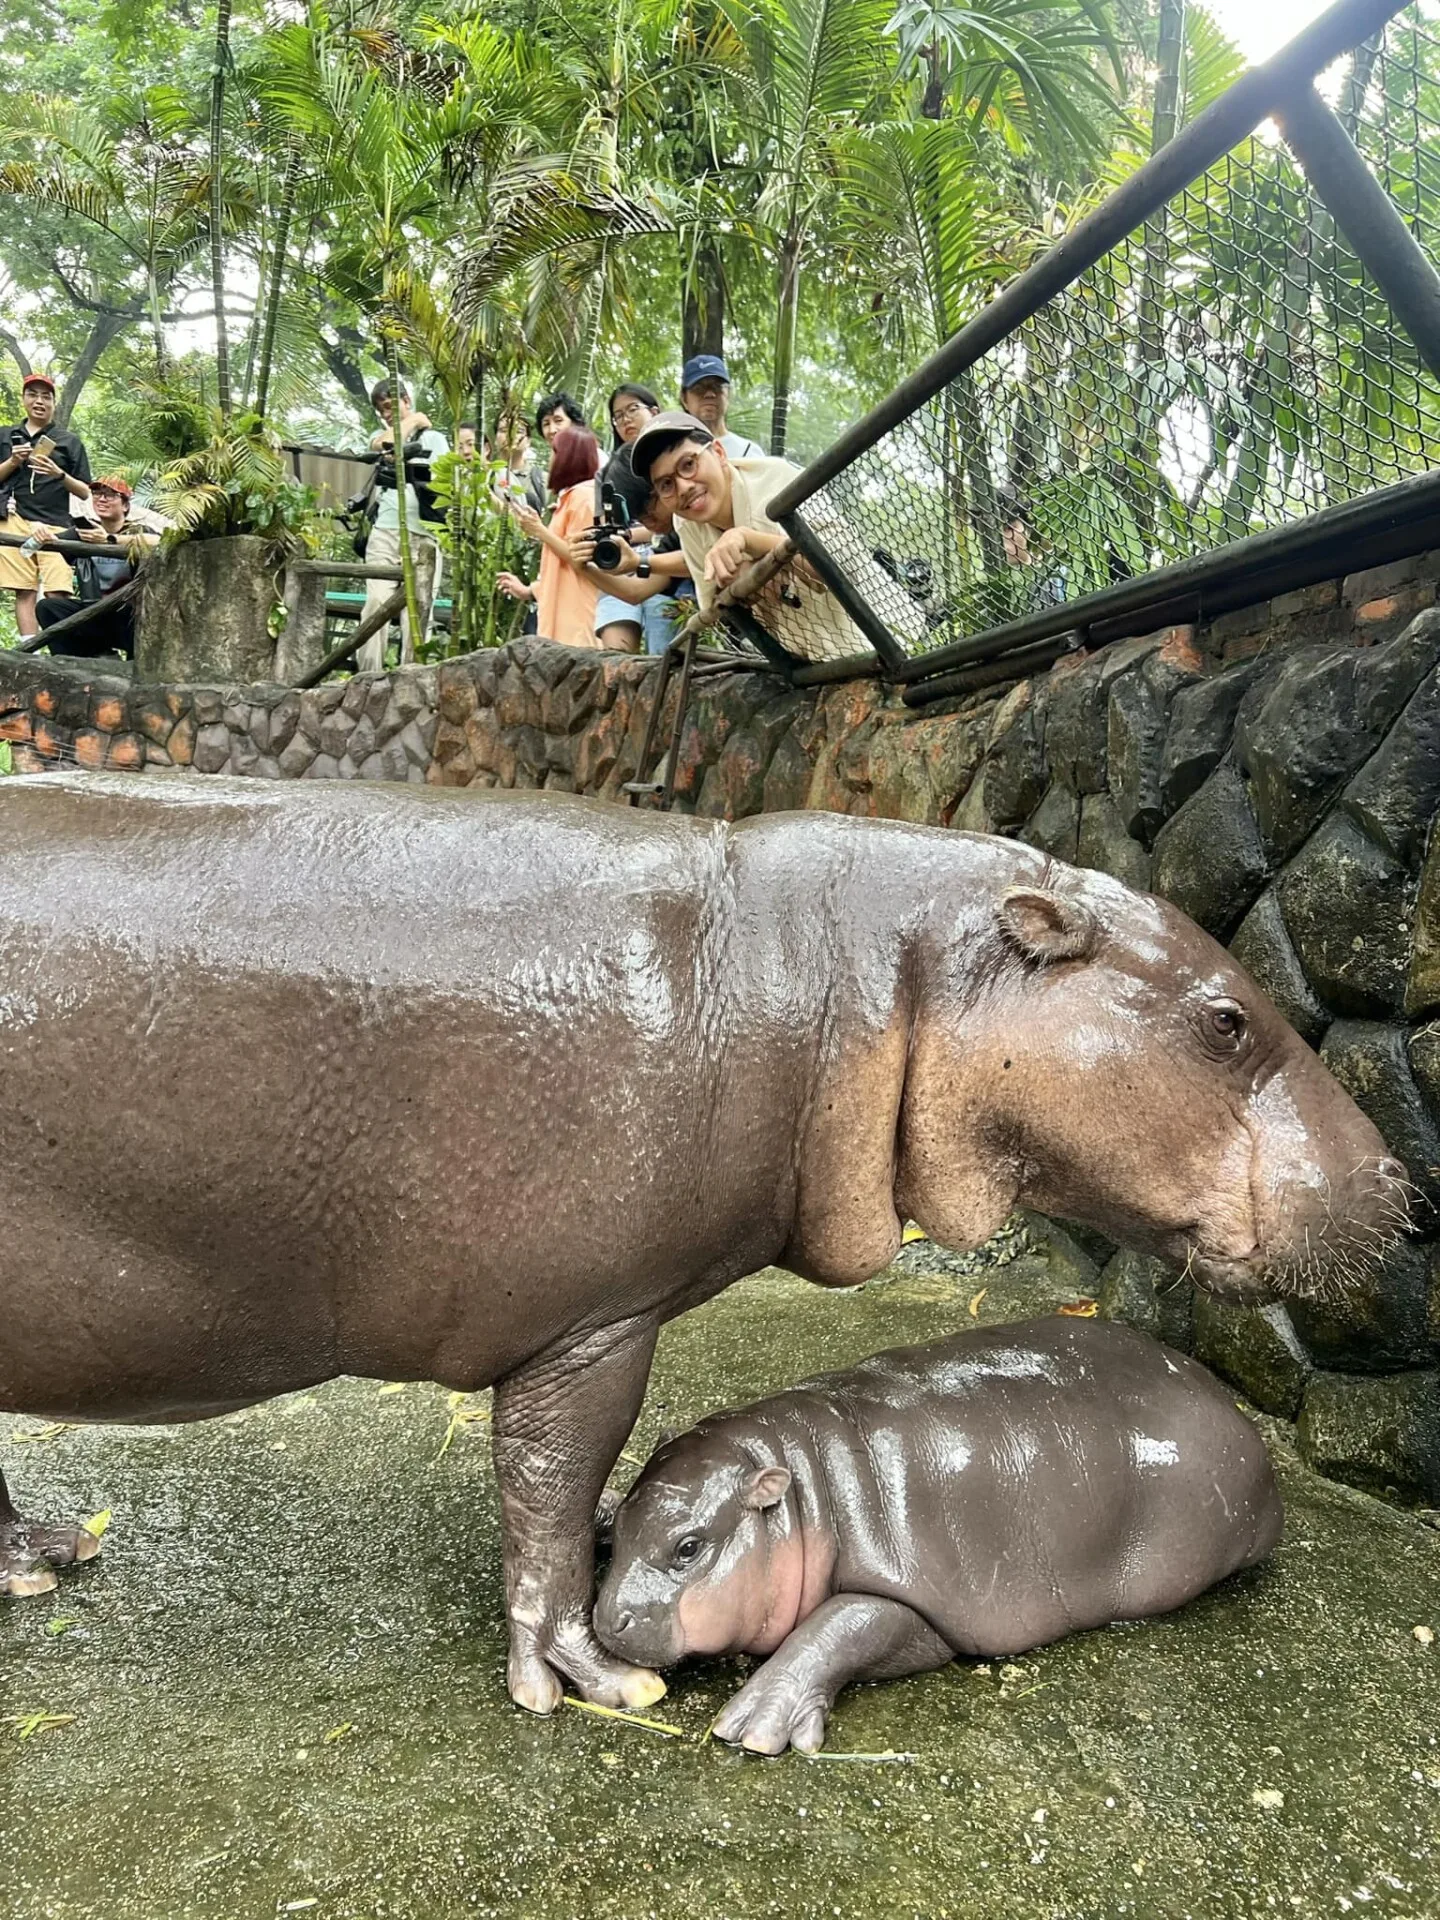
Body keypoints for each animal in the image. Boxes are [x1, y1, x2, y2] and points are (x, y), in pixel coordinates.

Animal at [599, 1320, 1282, 1758]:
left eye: (689, 1547)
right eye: (619, 1519)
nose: (609, 1619)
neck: (799, 1488)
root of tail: (1232, 1408)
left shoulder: (914, 1595)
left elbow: (839, 1626)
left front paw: (752, 1727)